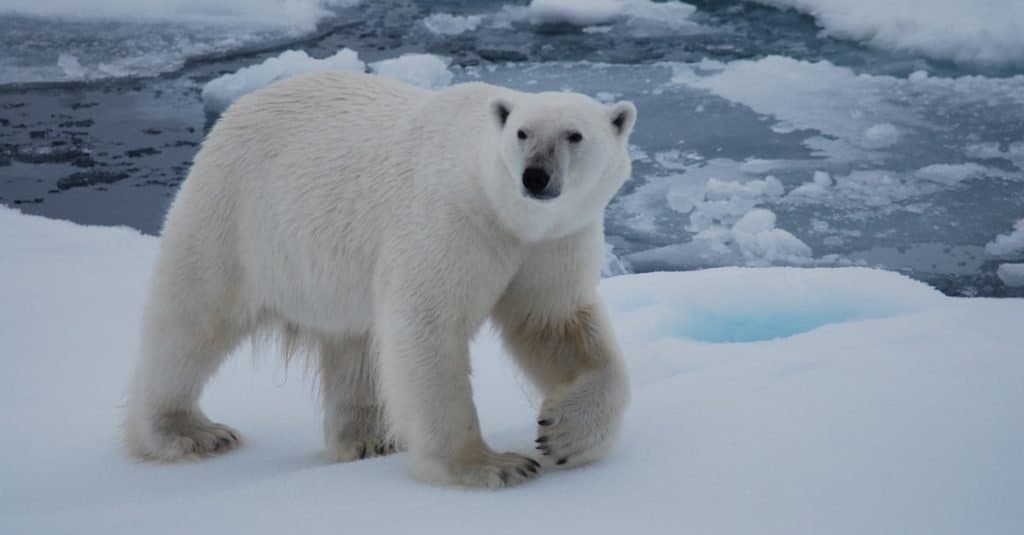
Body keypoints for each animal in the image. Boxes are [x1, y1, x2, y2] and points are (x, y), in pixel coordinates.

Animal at [124, 70, 634, 487]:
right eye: (522, 132)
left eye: (575, 135)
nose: (535, 176)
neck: (504, 211)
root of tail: (238, 108)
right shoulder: (452, 220)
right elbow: (428, 324)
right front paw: (492, 465)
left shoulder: (553, 242)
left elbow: (554, 323)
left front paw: (564, 435)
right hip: (235, 213)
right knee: (192, 318)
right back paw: (189, 432)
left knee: (354, 345)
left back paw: (367, 439)